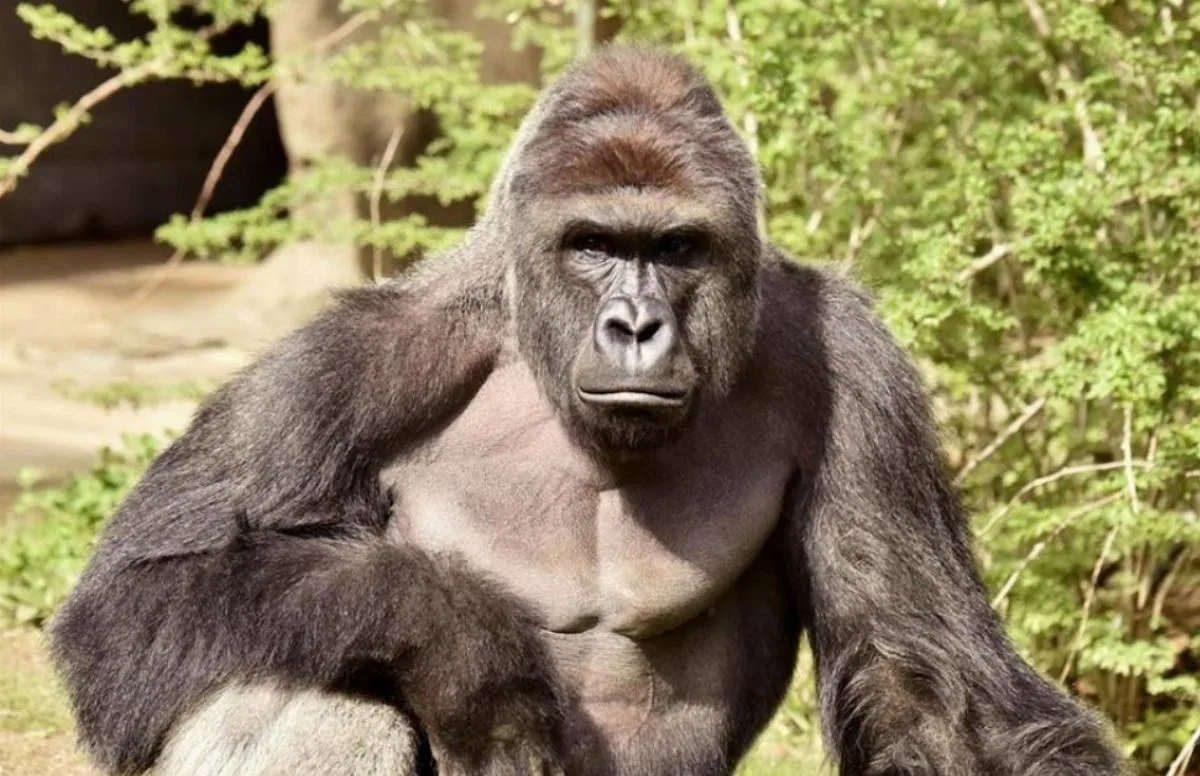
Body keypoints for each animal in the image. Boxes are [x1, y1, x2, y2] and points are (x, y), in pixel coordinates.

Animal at [50, 46, 1124, 776]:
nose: (635, 325)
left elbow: (928, 683)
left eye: (677, 248)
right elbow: (131, 603)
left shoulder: (859, 374)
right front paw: (465, 643)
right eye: (595, 244)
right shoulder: (345, 366)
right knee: (298, 677)